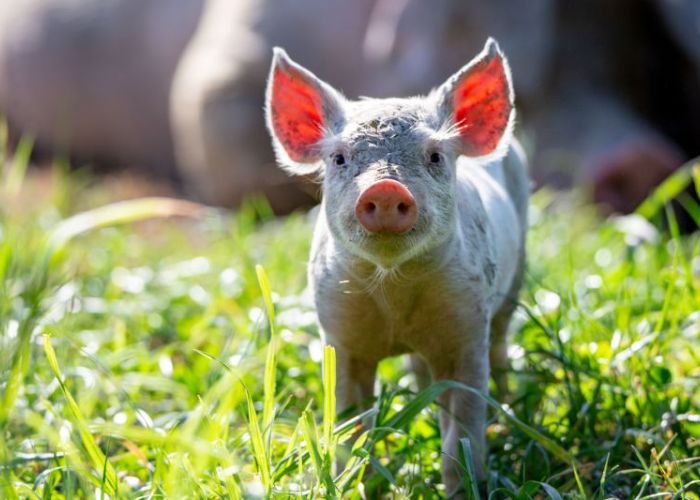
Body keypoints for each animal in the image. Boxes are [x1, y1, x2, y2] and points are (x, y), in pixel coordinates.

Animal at [264, 39, 529, 493]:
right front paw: (352, 484)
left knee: (500, 343)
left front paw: (464, 488)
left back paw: (506, 407)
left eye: (435, 155)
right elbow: (350, 426)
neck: (395, 295)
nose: (386, 188)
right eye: (339, 158)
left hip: (516, 276)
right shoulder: (339, 334)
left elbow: (462, 431)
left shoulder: (468, 330)